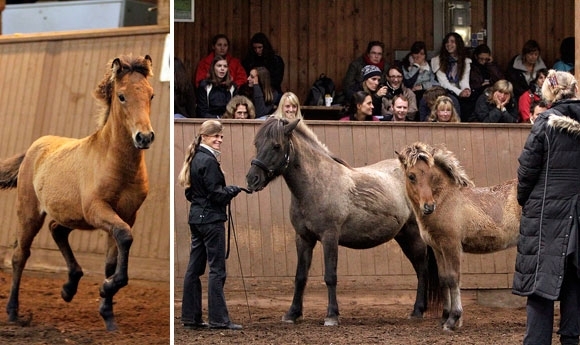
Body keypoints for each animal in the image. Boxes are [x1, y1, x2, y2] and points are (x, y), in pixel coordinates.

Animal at [0, 55, 155, 330]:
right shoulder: (98, 210)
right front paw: (106, 290)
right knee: (20, 255)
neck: (112, 161)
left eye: (151, 95)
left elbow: (112, 260)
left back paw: (68, 288)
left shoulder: (126, 214)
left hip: (70, 215)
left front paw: (108, 312)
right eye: (122, 96)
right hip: (30, 213)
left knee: (56, 230)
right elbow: (124, 236)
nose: (144, 137)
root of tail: (33, 147)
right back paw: (13, 312)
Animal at [246, 118, 440, 326]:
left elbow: (330, 276)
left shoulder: (330, 236)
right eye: (257, 144)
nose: (252, 179)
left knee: (422, 269)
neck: (316, 185)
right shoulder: (303, 238)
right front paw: (292, 314)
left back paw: (417, 310)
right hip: (403, 236)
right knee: (420, 269)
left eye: (276, 146)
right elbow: (300, 277)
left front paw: (331, 315)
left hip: (414, 235)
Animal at [396, 142, 520, 330]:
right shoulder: (438, 248)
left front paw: (453, 319)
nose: (428, 207)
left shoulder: (451, 245)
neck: (446, 201)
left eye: (431, 176)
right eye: (411, 176)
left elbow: (454, 279)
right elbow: (444, 279)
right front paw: (444, 317)